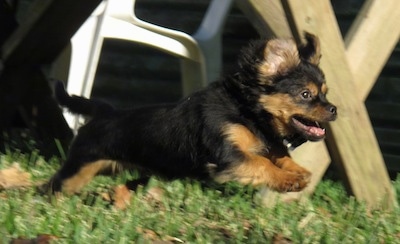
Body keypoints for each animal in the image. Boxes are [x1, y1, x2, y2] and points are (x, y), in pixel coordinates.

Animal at [47, 33, 338, 195]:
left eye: (325, 93)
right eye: (306, 95)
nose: (334, 109)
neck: (246, 113)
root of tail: (106, 110)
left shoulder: (262, 143)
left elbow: (278, 154)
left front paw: (298, 173)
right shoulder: (228, 156)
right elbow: (261, 163)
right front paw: (287, 180)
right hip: (79, 167)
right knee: (54, 186)